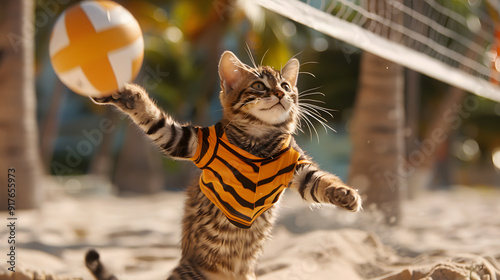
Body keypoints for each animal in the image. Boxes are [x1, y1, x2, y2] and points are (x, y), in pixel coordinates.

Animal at [85, 50, 360, 280]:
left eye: (285, 86)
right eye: (259, 86)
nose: (281, 94)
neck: (258, 141)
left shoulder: (298, 169)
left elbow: (321, 182)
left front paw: (346, 195)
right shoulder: (184, 140)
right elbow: (151, 115)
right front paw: (123, 94)